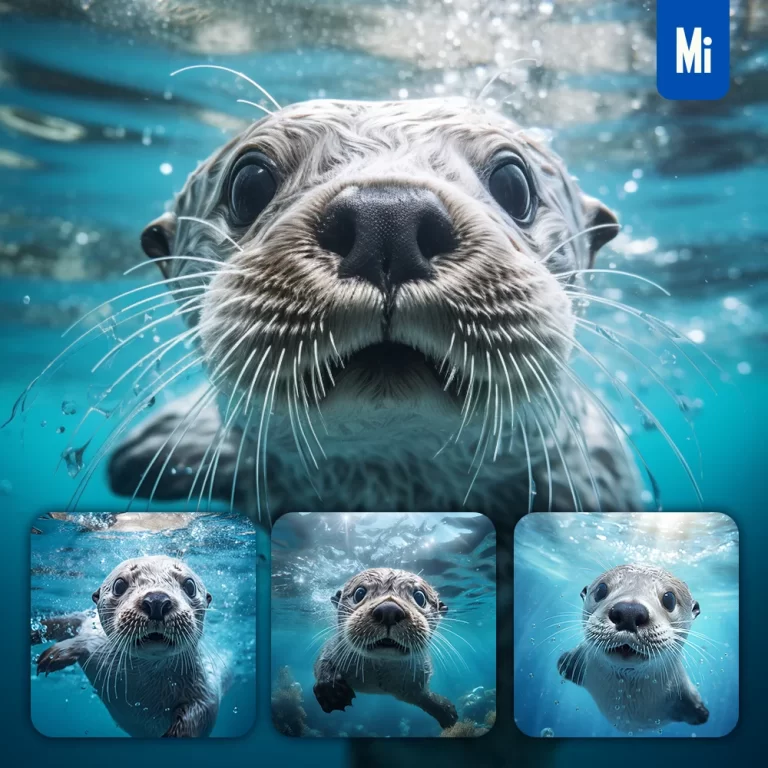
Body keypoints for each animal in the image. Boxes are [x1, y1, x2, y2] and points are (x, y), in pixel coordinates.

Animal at [32, 555, 222, 738]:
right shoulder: (98, 646)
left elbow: (198, 718)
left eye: (190, 585)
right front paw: (58, 653)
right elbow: (86, 640)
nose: (157, 600)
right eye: (119, 585)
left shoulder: (205, 691)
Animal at [312, 567, 458, 729]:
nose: (389, 610)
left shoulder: (416, 684)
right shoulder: (334, 647)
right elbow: (321, 661)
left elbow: (426, 697)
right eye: (359, 593)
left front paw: (447, 713)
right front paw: (331, 691)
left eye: (420, 597)